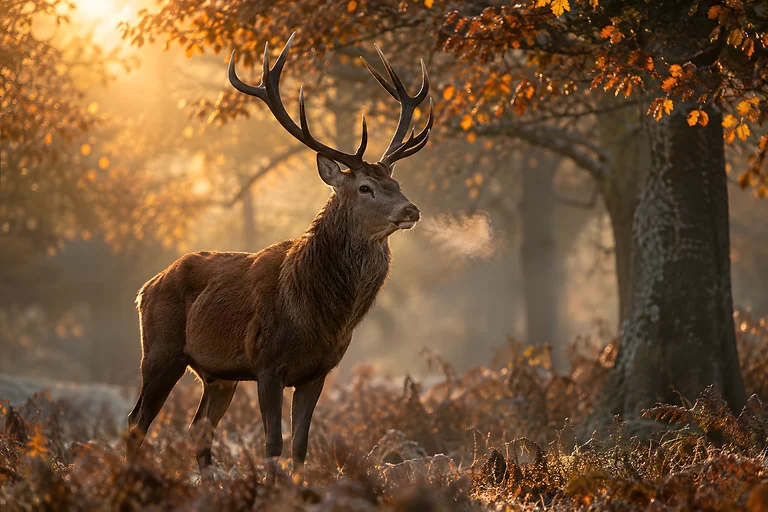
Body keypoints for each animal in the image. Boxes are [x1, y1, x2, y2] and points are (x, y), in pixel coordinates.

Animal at [125, 33, 433, 484]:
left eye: (395, 182)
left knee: (198, 428)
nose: (411, 210)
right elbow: (273, 444)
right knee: (137, 423)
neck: (318, 316)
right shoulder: (266, 364)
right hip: (161, 352)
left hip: (218, 375)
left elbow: (300, 446)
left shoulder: (317, 372)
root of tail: (145, 287)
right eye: (364, 188)